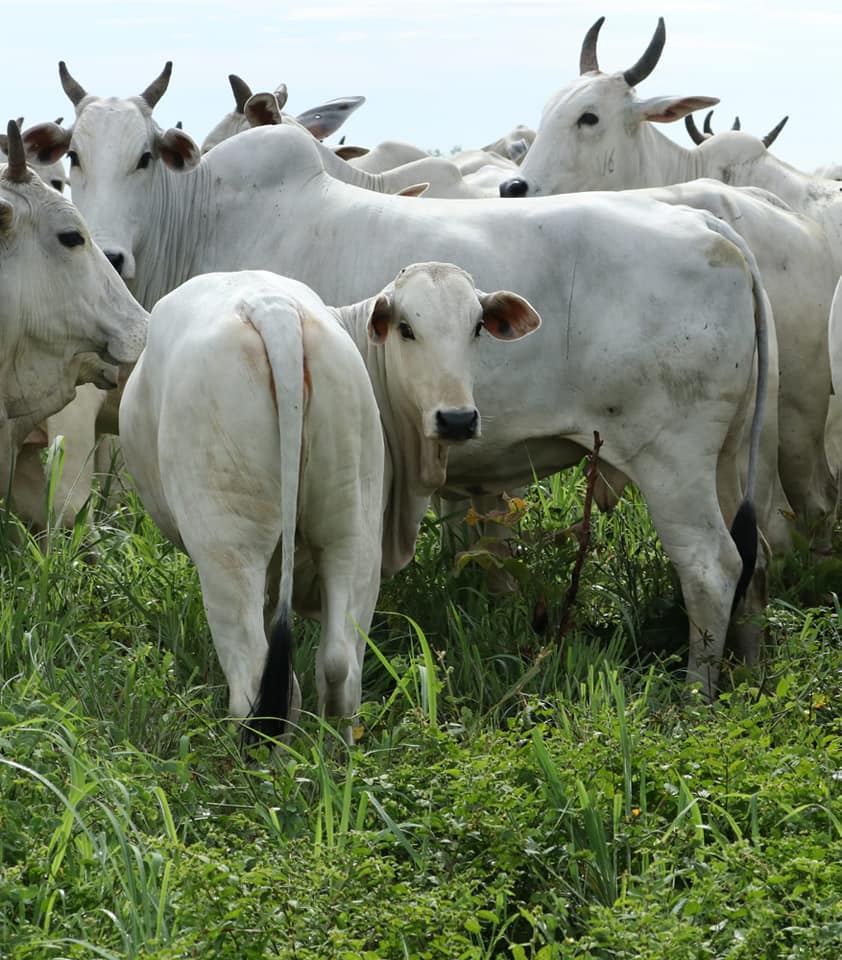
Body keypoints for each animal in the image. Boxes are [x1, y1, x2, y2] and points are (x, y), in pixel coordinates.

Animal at [120, 266, 540, 740]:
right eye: (407, 328)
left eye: (477, 327)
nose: (456, 419)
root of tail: (274, 309)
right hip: (350, 529)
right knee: (340, 665)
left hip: (228, 545)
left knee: (256, 682)